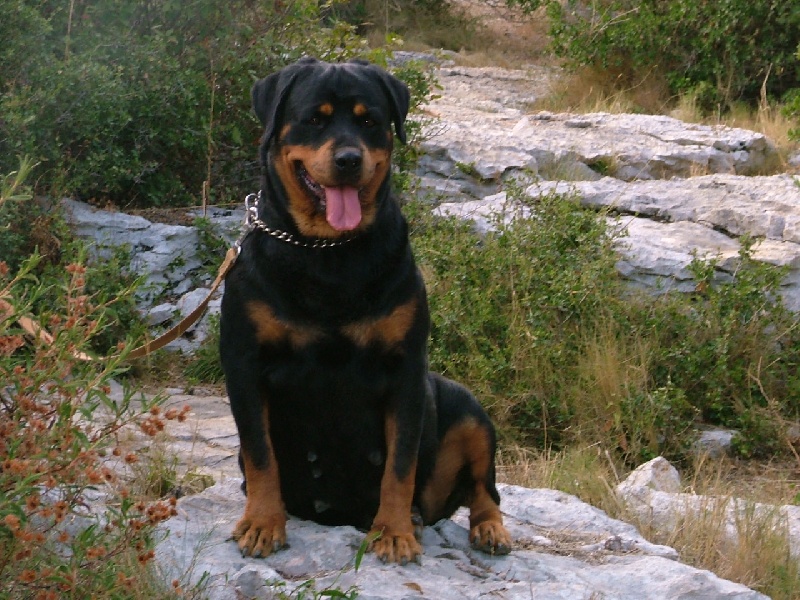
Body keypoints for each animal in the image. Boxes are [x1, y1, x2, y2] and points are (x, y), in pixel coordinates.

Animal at [219, 57, 511, 565]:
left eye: (370, 121)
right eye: (314, 119)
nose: (349, 160)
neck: (327, 251)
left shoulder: (407, 369)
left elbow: (399, 464)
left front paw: (393, 531)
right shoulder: (244, 363)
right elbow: (259, 454)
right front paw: (262, 522)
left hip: (467, 408)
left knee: (483, 488)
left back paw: (483, 528)